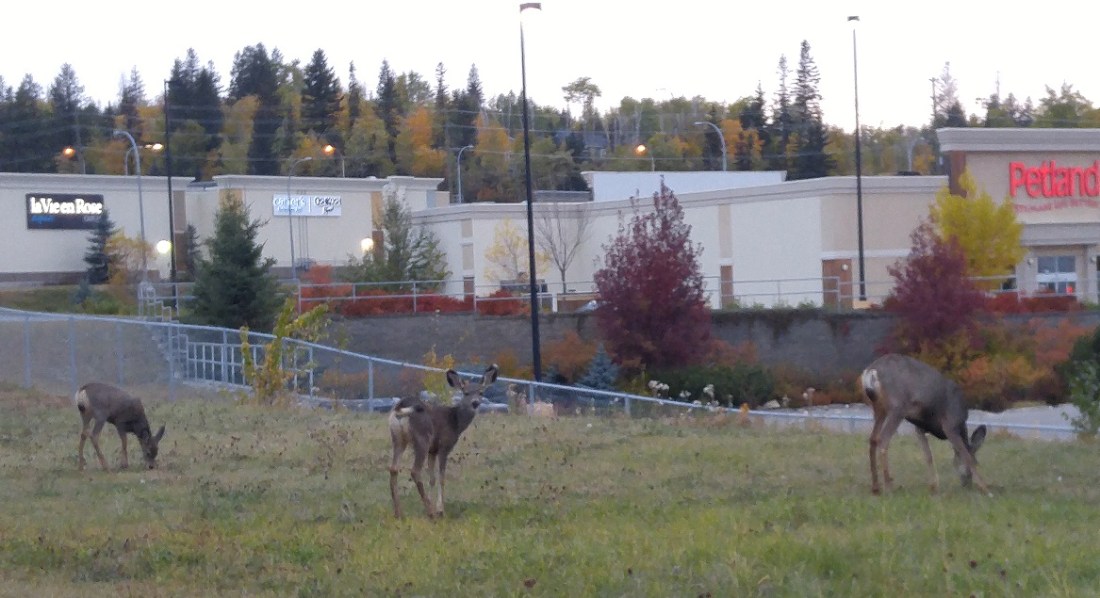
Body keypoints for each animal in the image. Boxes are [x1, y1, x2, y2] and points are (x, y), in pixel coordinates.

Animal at [388, 365, 499, 519]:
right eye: (465, 392)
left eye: (481, 392)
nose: (475, 403)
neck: (455, 422)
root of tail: (401, 406)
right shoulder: (444, 446)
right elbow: (441, 477)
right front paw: (440, 509)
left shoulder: (432, 450)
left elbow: (432, 478)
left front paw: (431, 504)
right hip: (422, 437)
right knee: (415, 471)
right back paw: (431, 513)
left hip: (397, 438)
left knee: (393, 469)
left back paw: (399, 513)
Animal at [861, 354, 990, 496]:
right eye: (977, 462)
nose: (967, 484)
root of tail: (871, 372)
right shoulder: (950, 424)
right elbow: (965, 454)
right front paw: (985, 489)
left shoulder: (920, 427)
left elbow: (928, 455)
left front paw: (933, 487)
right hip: (897, 407)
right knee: (883, 439)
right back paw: (889, 488)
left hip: (879, 408)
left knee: (873, 439)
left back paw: (875, 488)